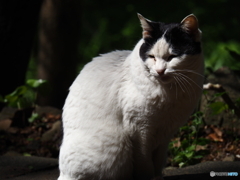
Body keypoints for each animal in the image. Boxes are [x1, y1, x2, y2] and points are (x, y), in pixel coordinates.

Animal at [57, 13, 204, 180]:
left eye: (172, 56)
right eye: (152, 57)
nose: (160, 71)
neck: (170, 93)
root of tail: (63, 174)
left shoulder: (166, 132)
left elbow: (158, 160)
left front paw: (158, 176)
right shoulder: (139, 130)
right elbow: (145, 162)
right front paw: (149, 177)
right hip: (116, 145)